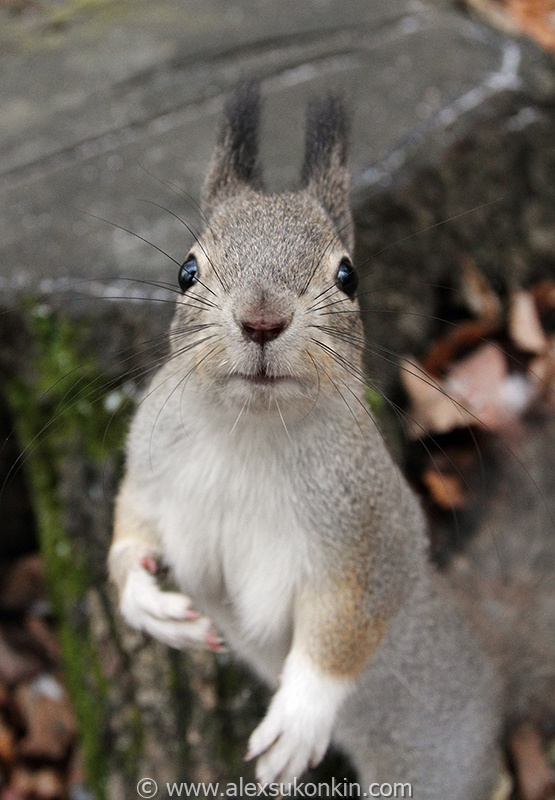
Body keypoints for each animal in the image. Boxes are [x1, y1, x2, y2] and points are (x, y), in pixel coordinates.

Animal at [108, 81, 501, 798]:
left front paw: (299, 714)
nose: (261, 319)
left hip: (432, 759)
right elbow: (129, 530)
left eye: (348, 276)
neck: (249, 429)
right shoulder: (150, 465)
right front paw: (147, 604)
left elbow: (347, 621)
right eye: (186, 270)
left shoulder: (372, 526)